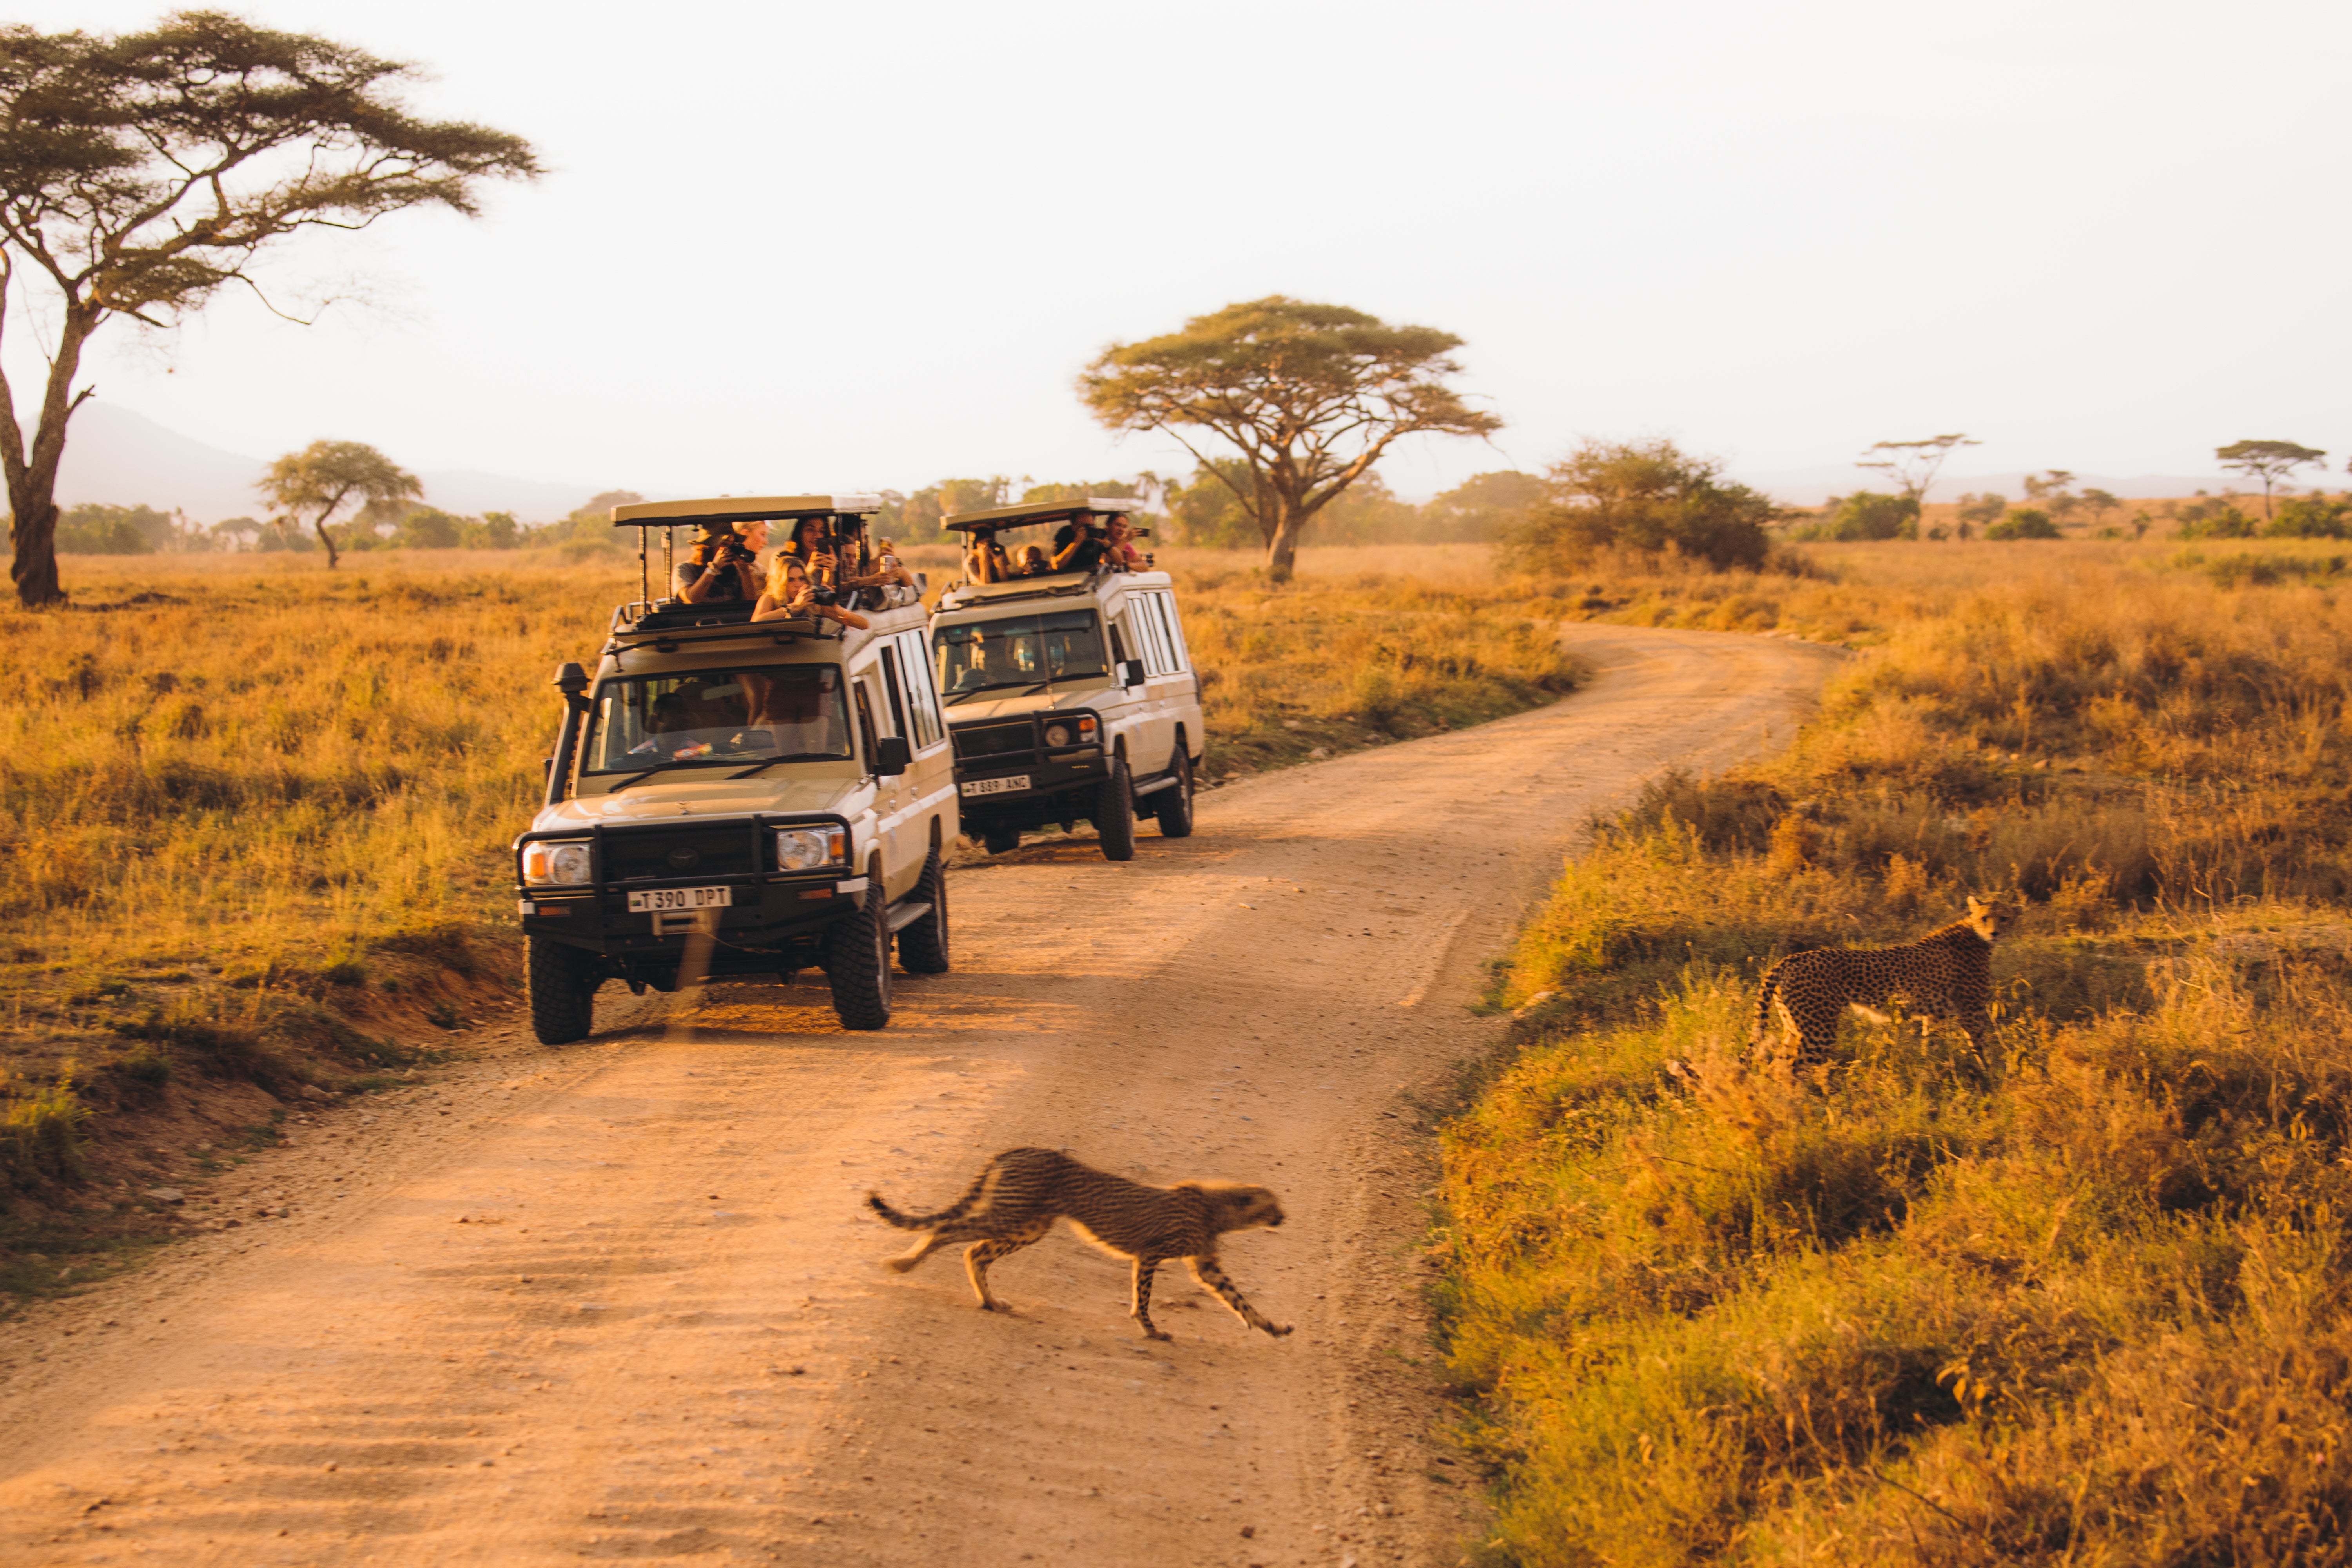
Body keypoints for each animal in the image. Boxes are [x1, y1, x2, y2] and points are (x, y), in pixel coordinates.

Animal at [875, 1147, 1298, 1345]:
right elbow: (1143, 1298)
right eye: (1273, 1205)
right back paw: (904, 1264)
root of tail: (1022, 1148)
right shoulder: (1150, 1253)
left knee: (975, 1251)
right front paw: (1151, 1330)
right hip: (1010, 1214)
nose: (1284, 1216)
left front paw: (1272, 1326)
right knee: (949, 1230)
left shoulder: (1205, 1266)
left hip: (1029, 1225)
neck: (1217, 1207)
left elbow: (1239, 1299)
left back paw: (991, 1302)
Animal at [1750, 893, 2022, 1067]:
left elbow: (1931, 1045)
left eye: (2004, 918)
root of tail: (1794, 957)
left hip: (1796, 1028)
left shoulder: (1936, 1015)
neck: (1975, 933)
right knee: (1792, 1070)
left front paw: (1930, 1070)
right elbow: (1980, 1047)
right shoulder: (1971, 1012)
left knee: (1778, 1068)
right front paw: (1992, 1078)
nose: (1995, 933)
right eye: (1986, 917)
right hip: (1818, 1031)